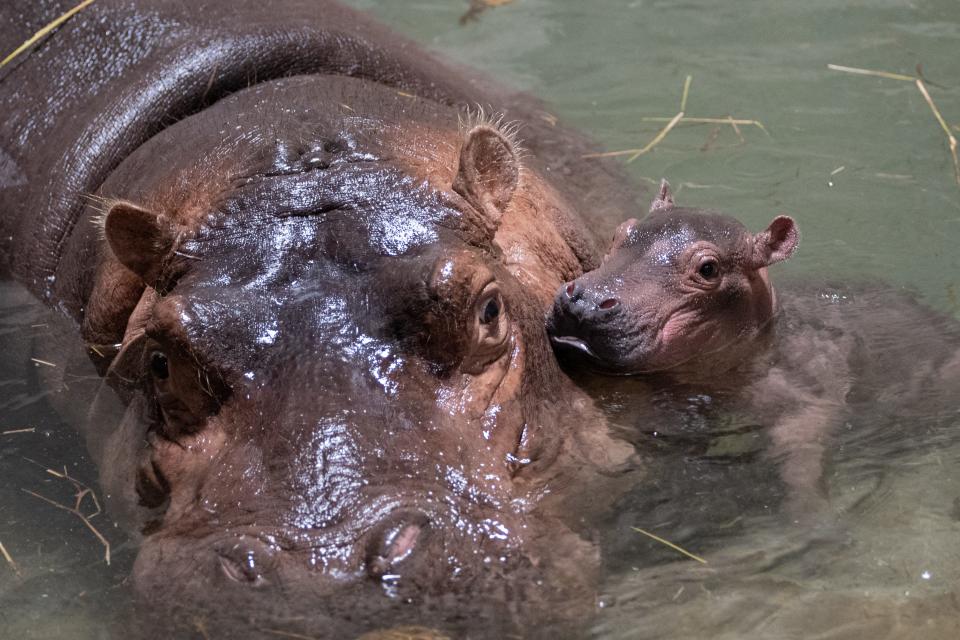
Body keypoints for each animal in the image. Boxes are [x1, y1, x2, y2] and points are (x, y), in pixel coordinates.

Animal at [548, 181, 960, 520]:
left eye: (709, 269)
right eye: (620, 232)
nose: (588, 300)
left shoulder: (808, 404)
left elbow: (801, 462)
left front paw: (811, 518)